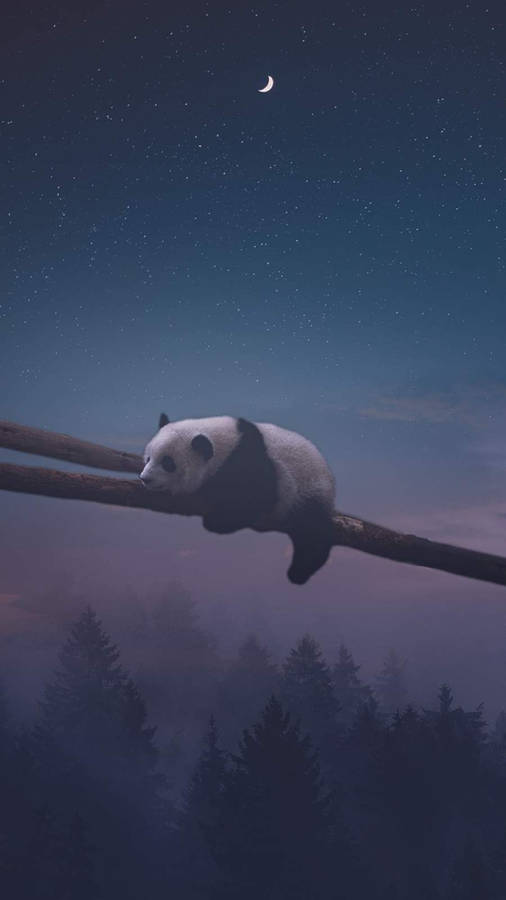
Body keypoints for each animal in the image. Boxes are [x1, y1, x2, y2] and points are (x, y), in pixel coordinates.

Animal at [140, 413, 336, 585]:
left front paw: (217, 519)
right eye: (148, 458)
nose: (145, 478)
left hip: (309, 490)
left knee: (312, 532)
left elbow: (257, 498)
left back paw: (299, 572)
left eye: (168, 463)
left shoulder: (251, 461)